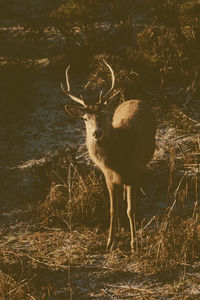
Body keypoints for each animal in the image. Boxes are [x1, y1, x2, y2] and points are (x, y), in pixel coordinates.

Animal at [61, 59, 156, 251]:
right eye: (85, 118)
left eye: (104, 114)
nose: (96, 133)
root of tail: (135, 99)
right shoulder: (108, 178)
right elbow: (112, 209)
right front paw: (110, 241)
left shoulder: (133, 173)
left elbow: (130, 210)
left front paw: (134, 243)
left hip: (142, 164)